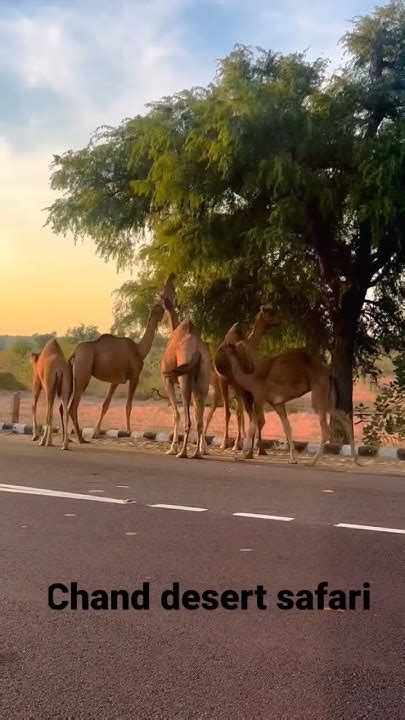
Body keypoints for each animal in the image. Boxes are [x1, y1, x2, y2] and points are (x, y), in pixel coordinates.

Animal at [68, 300, 164, 442]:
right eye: (157, 307)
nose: (164, 308)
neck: (139, 351)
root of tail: (75, 352)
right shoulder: (135, 376)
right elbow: (128, 405)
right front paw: (128, 430)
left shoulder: (116, 380)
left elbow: (105, 404)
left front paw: (96, 433)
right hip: (82, 374)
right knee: (73, 406)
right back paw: (80, 439)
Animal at [159, 276, 211, 462]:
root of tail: (197, 351)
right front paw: (203, 448)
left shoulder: (167, 379)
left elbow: (176, 414)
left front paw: (171, 448)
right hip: (202, 381)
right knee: (199, 419)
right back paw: (197, 453)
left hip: (184, 381)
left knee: (188, 418)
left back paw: (182, 453)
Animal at [211, 308, 280, 456]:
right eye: (271, 312)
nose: (279, 320)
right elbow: (248, 415)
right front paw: (250, 447)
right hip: (237, 383)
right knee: (246, 414)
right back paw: (246, 447)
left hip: (229, 382)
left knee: (235, 413)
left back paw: (233, 445)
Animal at [219, 344, 358, 466]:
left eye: (224, 348)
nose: (219, 348)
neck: (250, 379)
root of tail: (328, 374)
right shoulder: (277, 404)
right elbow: (287, 428)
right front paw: (293, 459)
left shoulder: (259, 397)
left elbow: (253, 425)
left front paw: (241, 456)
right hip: (327, 399)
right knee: (344, 418)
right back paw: (356, 461)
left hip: (319, 391)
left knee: (325, 429)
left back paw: (311, 462)